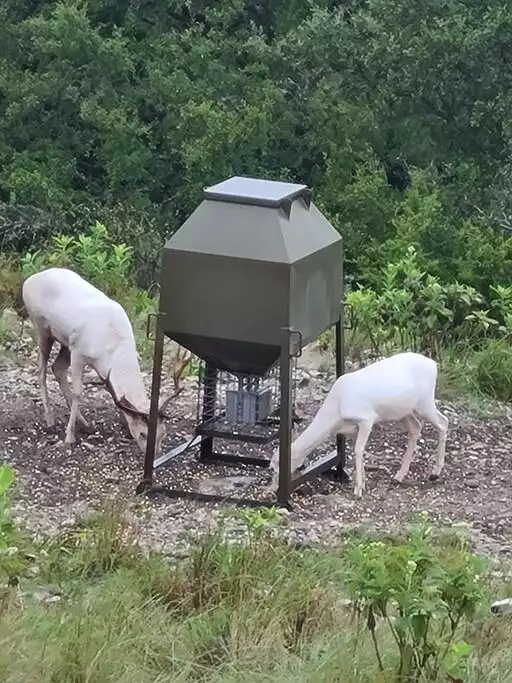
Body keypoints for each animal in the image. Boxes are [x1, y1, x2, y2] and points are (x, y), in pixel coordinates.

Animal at [22, 268, 176, 454]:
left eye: (163, 433)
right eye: (142, 434)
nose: (156, 454)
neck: (112, 345)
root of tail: (29, 280)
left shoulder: (102, 368)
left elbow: (115, 393)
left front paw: (124, 425)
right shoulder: (78, 353)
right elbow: (78, 392)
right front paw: (69, 437)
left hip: (66, 341)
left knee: (57, 368)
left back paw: (84, 423)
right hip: (41, 327)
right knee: (41, 370)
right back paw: (50, 419)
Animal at [268, 352, 448, 496]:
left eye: (276, 466)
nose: (274, 488)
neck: (337, 412)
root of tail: (434, 364)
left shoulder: (366, 418)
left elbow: (358, 450)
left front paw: (358, 489)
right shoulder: (354, 427)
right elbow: (357, 450)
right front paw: (363, 482)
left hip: (425, 401)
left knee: (443, 422)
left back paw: (435, 472)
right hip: (403, 410)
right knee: (416, 427)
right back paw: (399, 476)